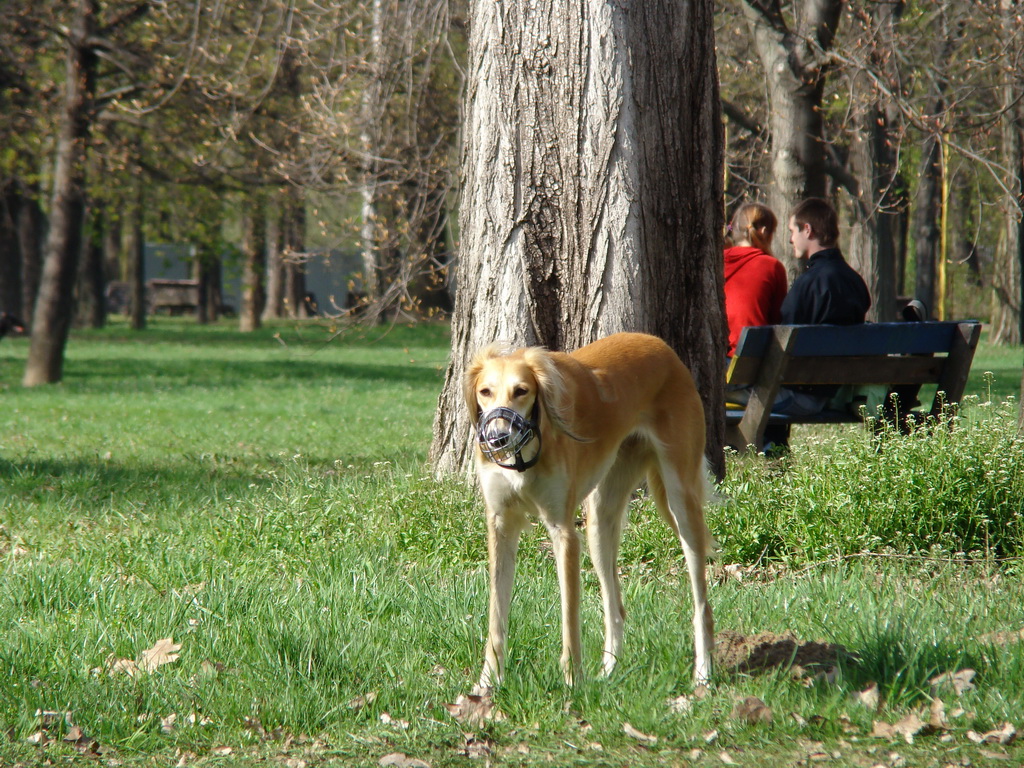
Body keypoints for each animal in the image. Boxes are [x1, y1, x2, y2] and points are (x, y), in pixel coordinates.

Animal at [466, 331, 712, 692]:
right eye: (485, 391)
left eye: (521, 391)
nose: (497, 439)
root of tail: (658, 343)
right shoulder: (500, 525)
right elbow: (496, 615)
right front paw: (487, 683)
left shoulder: (564, 533)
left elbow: (570, 616)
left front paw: (572, 682)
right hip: (600, 520)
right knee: (615, 606)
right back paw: (610, 670)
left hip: (681, 502)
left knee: (701, 605)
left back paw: (704, 674)